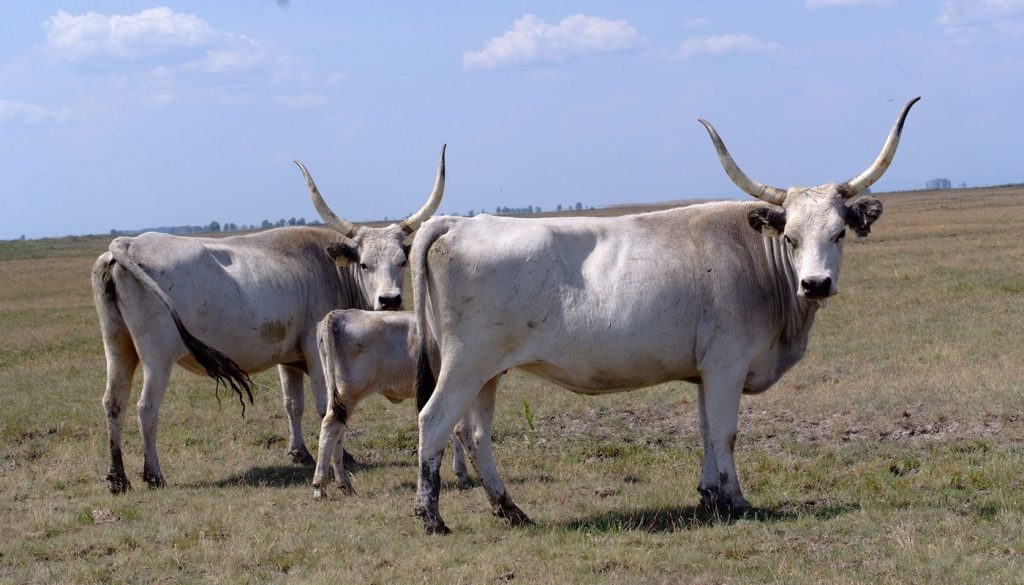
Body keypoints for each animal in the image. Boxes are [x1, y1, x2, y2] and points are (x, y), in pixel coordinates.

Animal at [92, 146, 445, 494]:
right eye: (365, 264)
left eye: (401, 262)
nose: (390, 300)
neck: (328, 269)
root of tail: (127, 244)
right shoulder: (315, 353)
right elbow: (326, 406)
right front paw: (340, 457)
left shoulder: (288, 358)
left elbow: (292, 403)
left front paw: (299, 453)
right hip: (157, 356)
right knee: (146, 408)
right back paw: (153, 475)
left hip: (118, 346)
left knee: (114, 402)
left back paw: (117, 478)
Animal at [312, 309, 469, 498]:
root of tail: (337, 315)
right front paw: (462, 471)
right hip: (349, 394)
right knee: (330, 427)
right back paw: (320, 486)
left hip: (336, 395)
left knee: (337, 432)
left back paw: (345, 485)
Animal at [410, 99, 919, 533]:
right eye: (791, 237)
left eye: (839, 233)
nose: (815, 283)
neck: (757, 262)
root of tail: (458, 222)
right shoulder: (727, 366)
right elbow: (726, 433)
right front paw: (736, 501)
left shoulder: (705, 372)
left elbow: (706, 432)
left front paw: (710, 495)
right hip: (465, 364)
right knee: (434, 421)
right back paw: (432, 518)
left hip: (487, 373)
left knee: (474, 433)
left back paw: (510, 510)